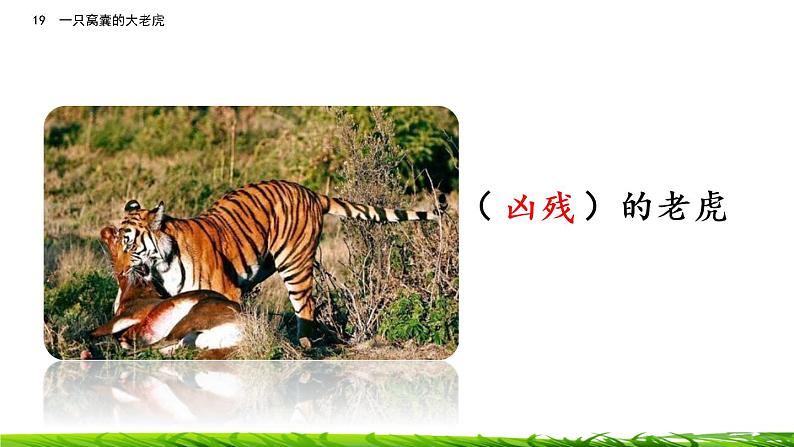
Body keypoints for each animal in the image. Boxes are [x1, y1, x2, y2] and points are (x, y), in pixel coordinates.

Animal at [116, 179, 442, 345]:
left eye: (129, 244)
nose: (118, 271)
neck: (164, 265)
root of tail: (311, 192)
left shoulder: (225, 291)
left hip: (294, 265)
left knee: (306, 306)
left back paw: (303, 346)